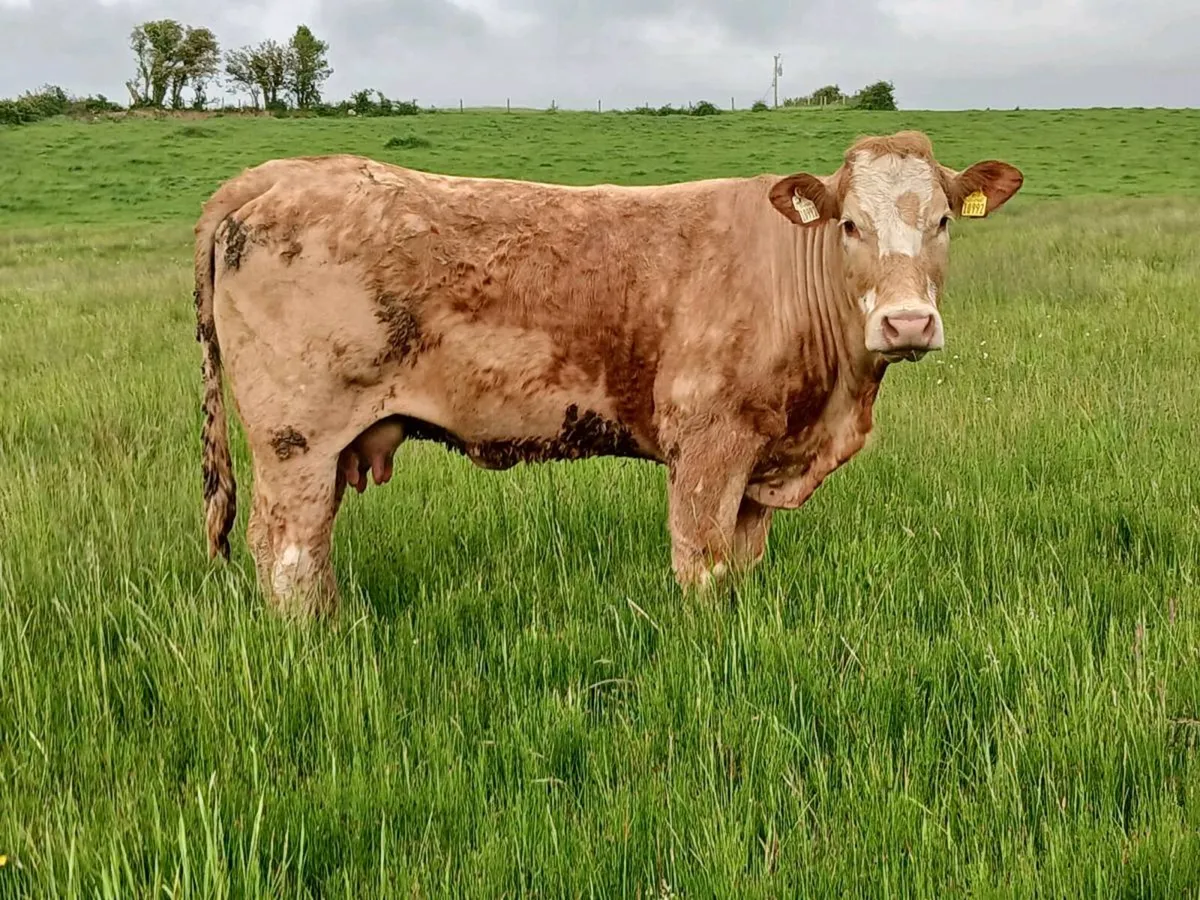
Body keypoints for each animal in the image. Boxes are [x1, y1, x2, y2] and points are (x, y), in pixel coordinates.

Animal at [193, 130, 1023, 617]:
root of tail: (273, 174)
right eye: (851, 224)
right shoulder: (707, 443)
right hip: (296, 440)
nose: (907, 323)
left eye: (942, 221)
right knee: (287, 553)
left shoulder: (763, 459)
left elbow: (742, 567)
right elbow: (702, 565)